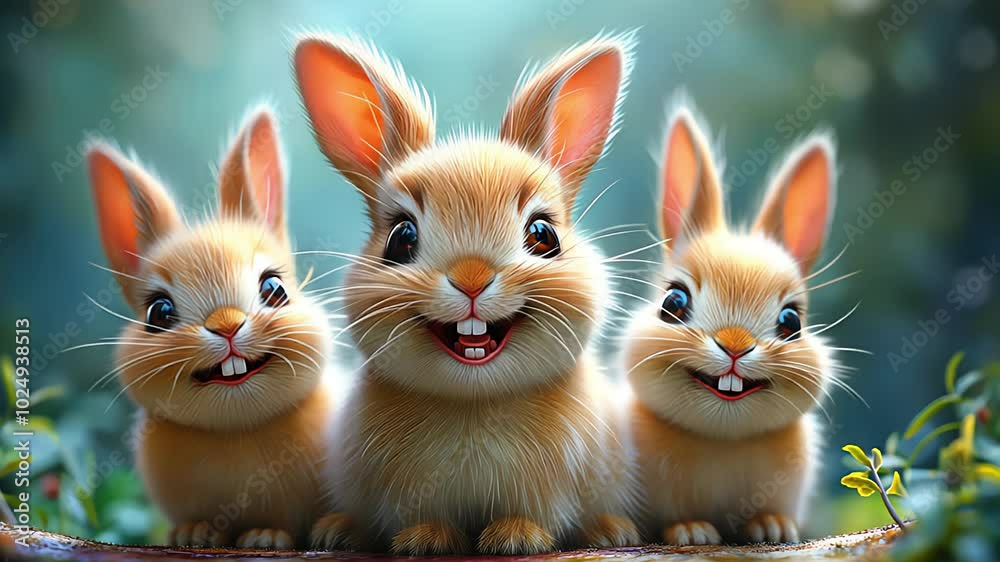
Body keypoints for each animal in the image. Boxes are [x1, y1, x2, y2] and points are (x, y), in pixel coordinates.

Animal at [85, 107, 336, 549]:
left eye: (274, 289)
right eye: (159, 313)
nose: (227, 325)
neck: (237, 424)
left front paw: (265, 537)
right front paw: (192, 534)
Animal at [293, 32, 642, 555]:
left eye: (543, 235)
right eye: (401, 238)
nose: (472, 277)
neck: (474, 398)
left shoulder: (549, 488)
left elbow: (534, 514)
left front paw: (516, 538)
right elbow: (422, 517)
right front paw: (426, 540)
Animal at [622, 101, 841, 545]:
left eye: (791, 321)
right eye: (673, 302)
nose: (735, 345)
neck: (723, 436)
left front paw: (773, 528)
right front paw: (692, 532)